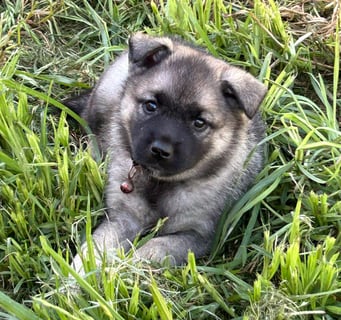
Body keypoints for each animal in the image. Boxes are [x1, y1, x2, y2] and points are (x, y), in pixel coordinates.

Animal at [64, 33, 266, 272]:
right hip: (106, 93)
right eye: (151, 106)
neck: (160, 183)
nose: (160, 150)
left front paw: (131, 266)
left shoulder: (196, 235)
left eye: (199, 122)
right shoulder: (123, 218)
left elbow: (156, 247)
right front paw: (79, 274)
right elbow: (98, 244)